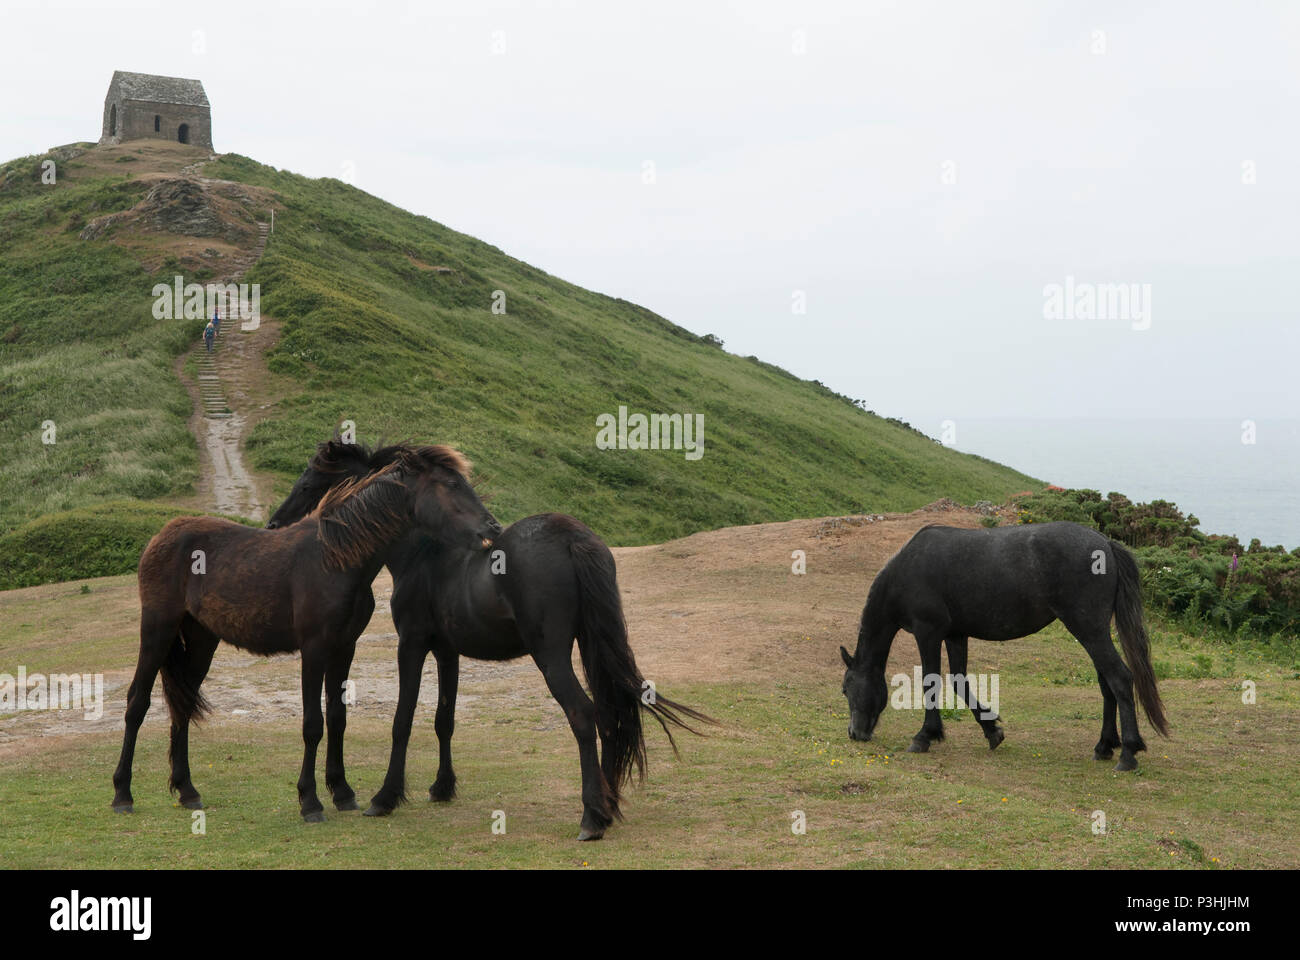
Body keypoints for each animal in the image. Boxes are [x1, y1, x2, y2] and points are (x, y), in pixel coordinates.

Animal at [111, 444, 499, 816]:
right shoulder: (314, 648)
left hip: (202, 639)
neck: (336, 559)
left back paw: (187, 790)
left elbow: (337, 718)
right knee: (137, 703)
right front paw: (310, 801)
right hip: (157, 630)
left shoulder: (344, 647)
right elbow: (313, 724)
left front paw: (342, 792)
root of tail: (162, 535)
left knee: (183, 704)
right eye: (452, 484)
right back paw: (122, 794)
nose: (492, 528)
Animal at [265, 437, 712, 832]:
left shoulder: (411, 644)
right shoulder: (447, 652)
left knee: (584, 715)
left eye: (308, 482)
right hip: (591, 647)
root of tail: (571, 535)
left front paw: (385, 798)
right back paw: (608, 802)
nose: (274, 523)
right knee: (608, 715)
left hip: (552, 656)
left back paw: (592, 817)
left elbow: (402, 721)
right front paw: (442, 788)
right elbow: (444, 720)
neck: (424, 553)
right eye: (454, 485)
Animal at [842, 520, 1170, 764]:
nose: (854, 733)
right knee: (1107, 684)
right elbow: (959, 682)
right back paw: (1104, 745)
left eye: (846, 689)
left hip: (1089, 630)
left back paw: (1128, 752)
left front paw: (925, 736)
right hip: (1095, 632)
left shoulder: (928, 633)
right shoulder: (955, 635)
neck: (908, 568)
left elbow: (931, 682)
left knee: (1120, 678)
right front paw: (991, 730)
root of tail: (1106, 544)